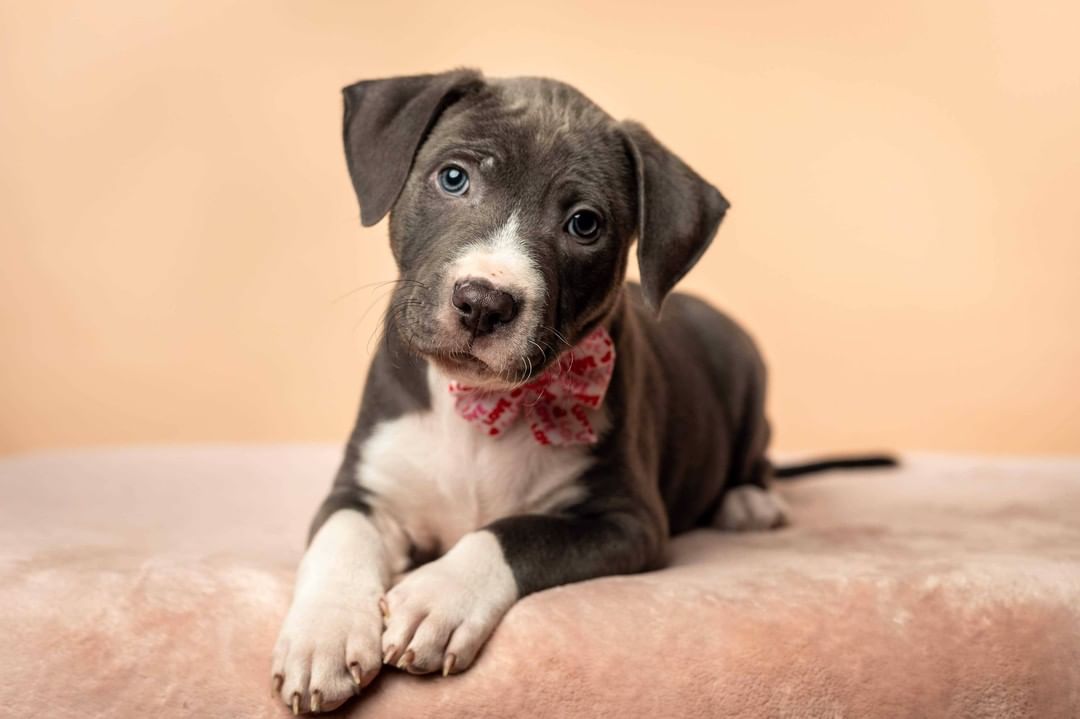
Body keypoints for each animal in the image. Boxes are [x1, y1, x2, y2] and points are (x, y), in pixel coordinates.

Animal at [270, 68, 885, 712]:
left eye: (584, 224)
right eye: (453, 177)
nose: (483, 302)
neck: (481, 404)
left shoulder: (626, 522)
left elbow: (516, 534)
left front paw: (437, 595)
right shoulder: (365, 488)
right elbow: (340, 537)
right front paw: (323, 635)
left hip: (748, 376)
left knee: (756, 457)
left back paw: (748, 502)